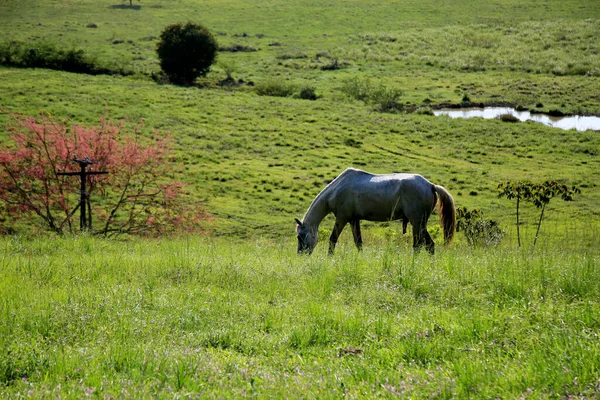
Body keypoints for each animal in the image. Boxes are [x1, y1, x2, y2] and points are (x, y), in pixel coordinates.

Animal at [294, 167, 454, 255]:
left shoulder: (341, 219)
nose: (300, 254)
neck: (337, 189)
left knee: (418, 245)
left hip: (417, 222)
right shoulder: (354, 220)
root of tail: (430, 185)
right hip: (420, 224)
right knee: (429, 245)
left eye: (300, 236)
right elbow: (358, 242)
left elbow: (333, 239)